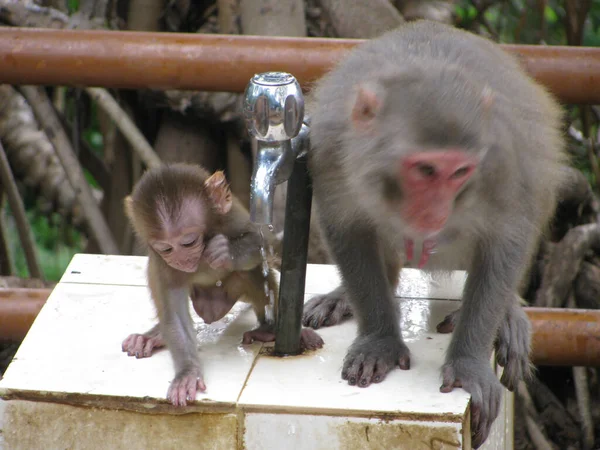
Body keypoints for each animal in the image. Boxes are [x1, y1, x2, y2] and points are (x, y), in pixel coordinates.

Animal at [122, 163, 326, 406]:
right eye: (166, 248)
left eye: (188, 242)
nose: (181, 260)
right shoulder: (163, 265)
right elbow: (175, 316)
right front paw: (187, 373)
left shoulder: (230, 218)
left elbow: (262, 243)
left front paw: (226, 251)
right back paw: (154, 337)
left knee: (250, 273)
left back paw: (268, 330)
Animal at [304, 20, 568, 446]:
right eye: (425, 170)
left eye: (459, 172)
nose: (436, 213)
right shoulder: (330, 146)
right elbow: (348, 228)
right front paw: (379, 339)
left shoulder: (500, 159)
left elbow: (508, 236)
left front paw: (468, 364)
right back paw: (346, 294)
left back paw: (508, 312)